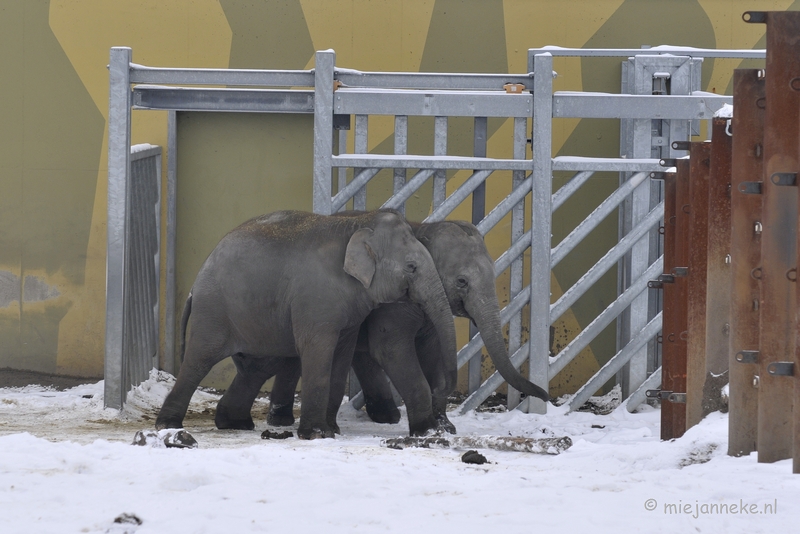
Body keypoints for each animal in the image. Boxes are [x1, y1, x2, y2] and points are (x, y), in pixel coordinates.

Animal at [155, 209, 456, 440]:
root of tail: (195, 284)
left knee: (256, 367)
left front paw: (331, 430)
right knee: (199, 360)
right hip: (214, 311)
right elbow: (318, 351)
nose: (444, 392)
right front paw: (316, 434)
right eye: (411, 267)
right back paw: (167, 425)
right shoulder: (315, 300)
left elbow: (341, 357)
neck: (357, 225)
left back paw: (234, 424)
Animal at [227, 220, 552, 434]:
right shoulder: (391, 304)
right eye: (462, 281)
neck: (421, 228)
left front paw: (445, 427)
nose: (546, 397)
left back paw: (385, 417)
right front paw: (427, 430)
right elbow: (392, 351)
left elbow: (430, 351)